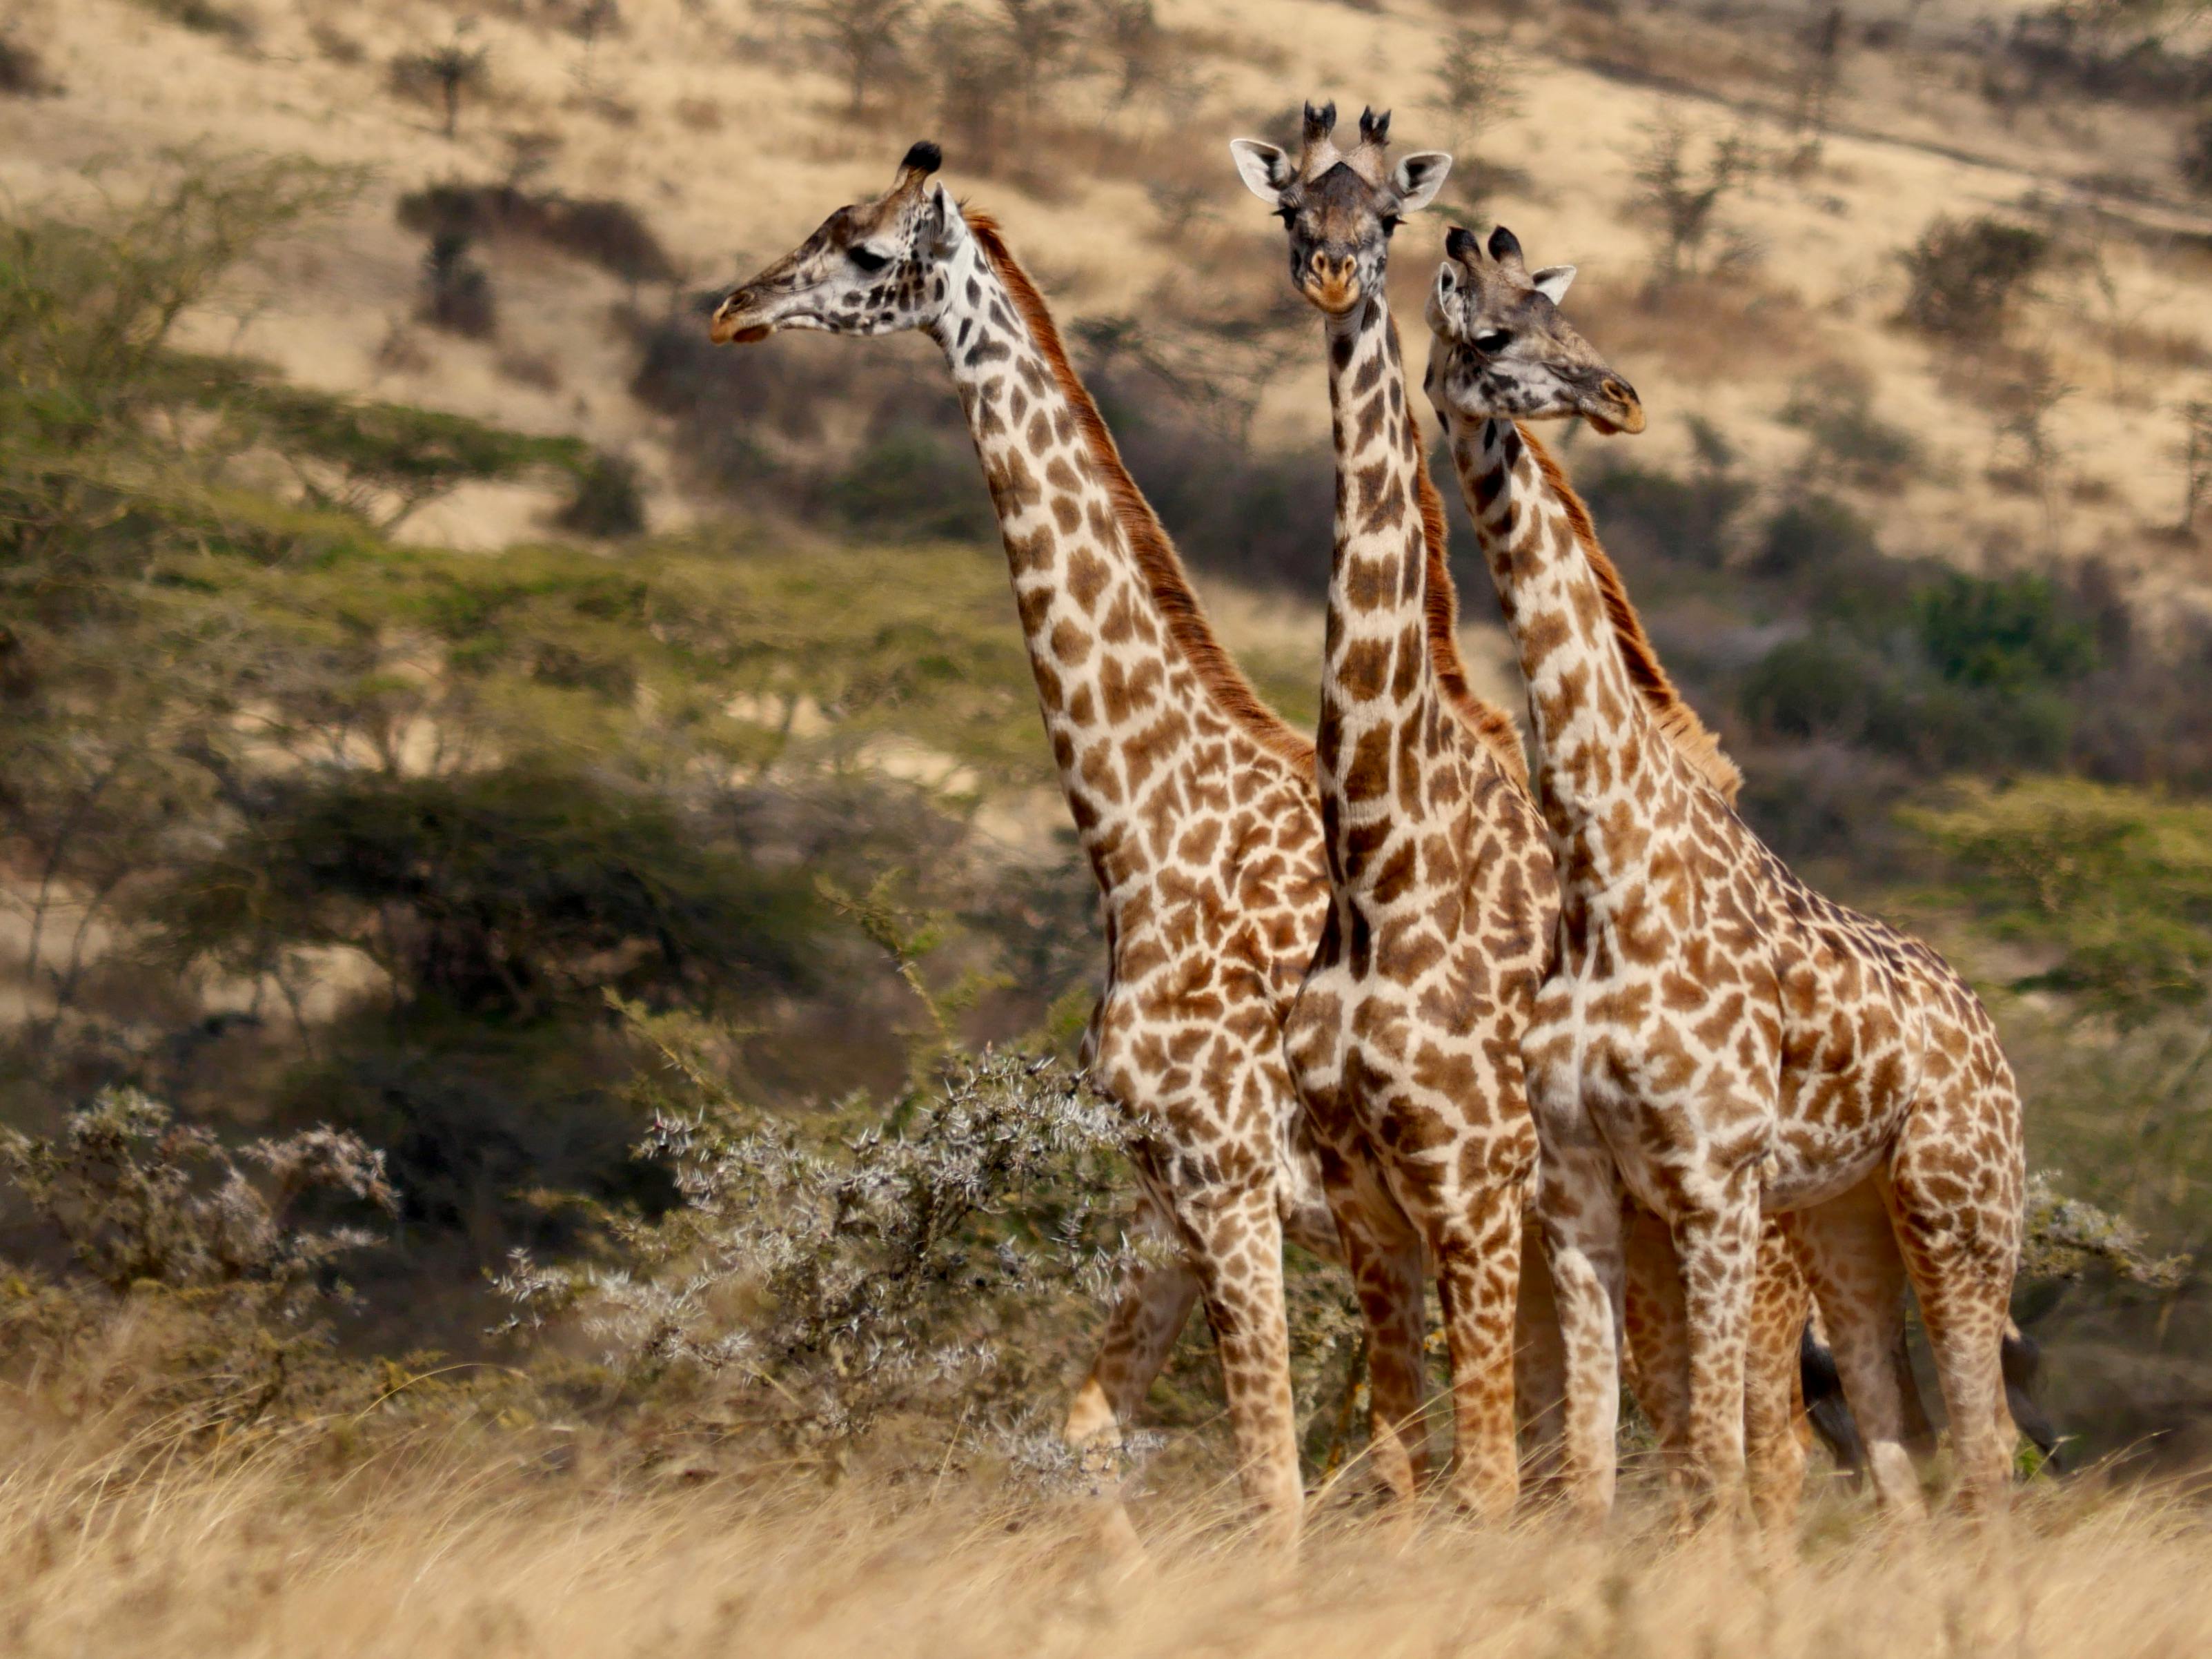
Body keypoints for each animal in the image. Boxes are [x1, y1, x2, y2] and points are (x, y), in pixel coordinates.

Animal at [707, 140, 1489, 1540]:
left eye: (865, 251)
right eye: (816, 223)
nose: (733, 309)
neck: (1143, 835)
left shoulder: (1230, 1181)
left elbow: (1273, 1481)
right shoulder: (1162, 1190)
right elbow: (1085, 1434)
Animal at [1419, 221, 2026, 1528]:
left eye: (1565, 319)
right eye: (1488, 334)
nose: (1621, 398)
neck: (1604, 866)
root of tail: (1991, 1040)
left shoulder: (1710, 1180)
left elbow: (1716, 1461)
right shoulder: (1581, 1185)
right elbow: (1594, 1470)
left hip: (1958, 1210)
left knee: (1987, 1448)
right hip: (1845, 1218)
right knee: (1900, 1447)